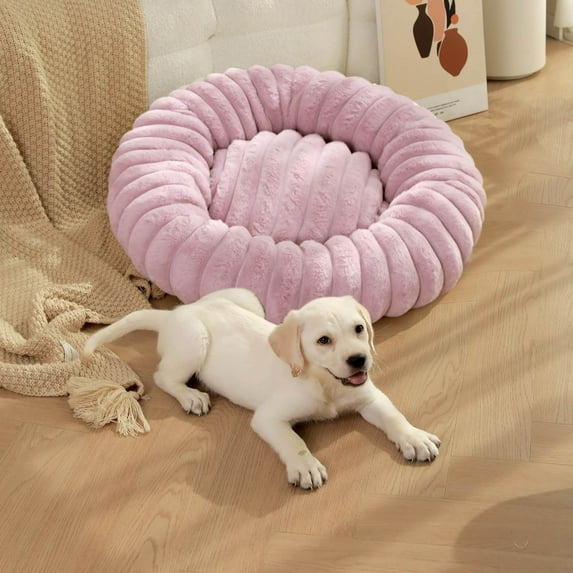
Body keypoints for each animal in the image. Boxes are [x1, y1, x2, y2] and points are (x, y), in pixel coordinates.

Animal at [84, 288, 440, 489]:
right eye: (323, 340)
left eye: (359, 329)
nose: (359, 360)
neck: (325, 383)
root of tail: (176, 312)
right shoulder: (269, 418)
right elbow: (294, 441)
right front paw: (305, 467)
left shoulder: (369, 396)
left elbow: (394, 416)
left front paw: (414, 438)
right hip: (194, 342)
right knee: (163, 376)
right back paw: (191, 396)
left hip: (247, 298)